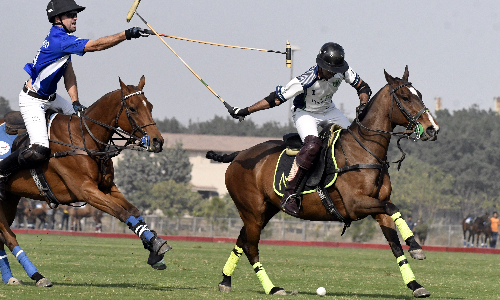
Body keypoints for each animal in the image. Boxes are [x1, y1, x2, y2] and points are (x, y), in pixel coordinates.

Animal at [0, 76, 170, 288]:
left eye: (150, 106)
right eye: (132, 108)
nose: (157, 141)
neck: (85, 138)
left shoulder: (106, 187)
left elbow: (133, 211)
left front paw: (154, 249)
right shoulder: (85, 190)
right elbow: (121, 212)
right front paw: (156, 246)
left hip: (9, 199)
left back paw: (11, 277)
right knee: (9, 237)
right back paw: (38, 276)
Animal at [207, 66, 438, 298]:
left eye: (419, 94)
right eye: (405, 97)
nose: (432, 129)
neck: (363, 151)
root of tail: (239, 155)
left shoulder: (378, 206)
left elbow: (395, 243)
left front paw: (416, 283)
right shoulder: (356, 204)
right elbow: (394, 208)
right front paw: (416, 246)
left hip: (264, 210)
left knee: (242, 241)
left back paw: (225, 280)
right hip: (252, 210)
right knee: (251, 247)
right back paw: (271, 287)